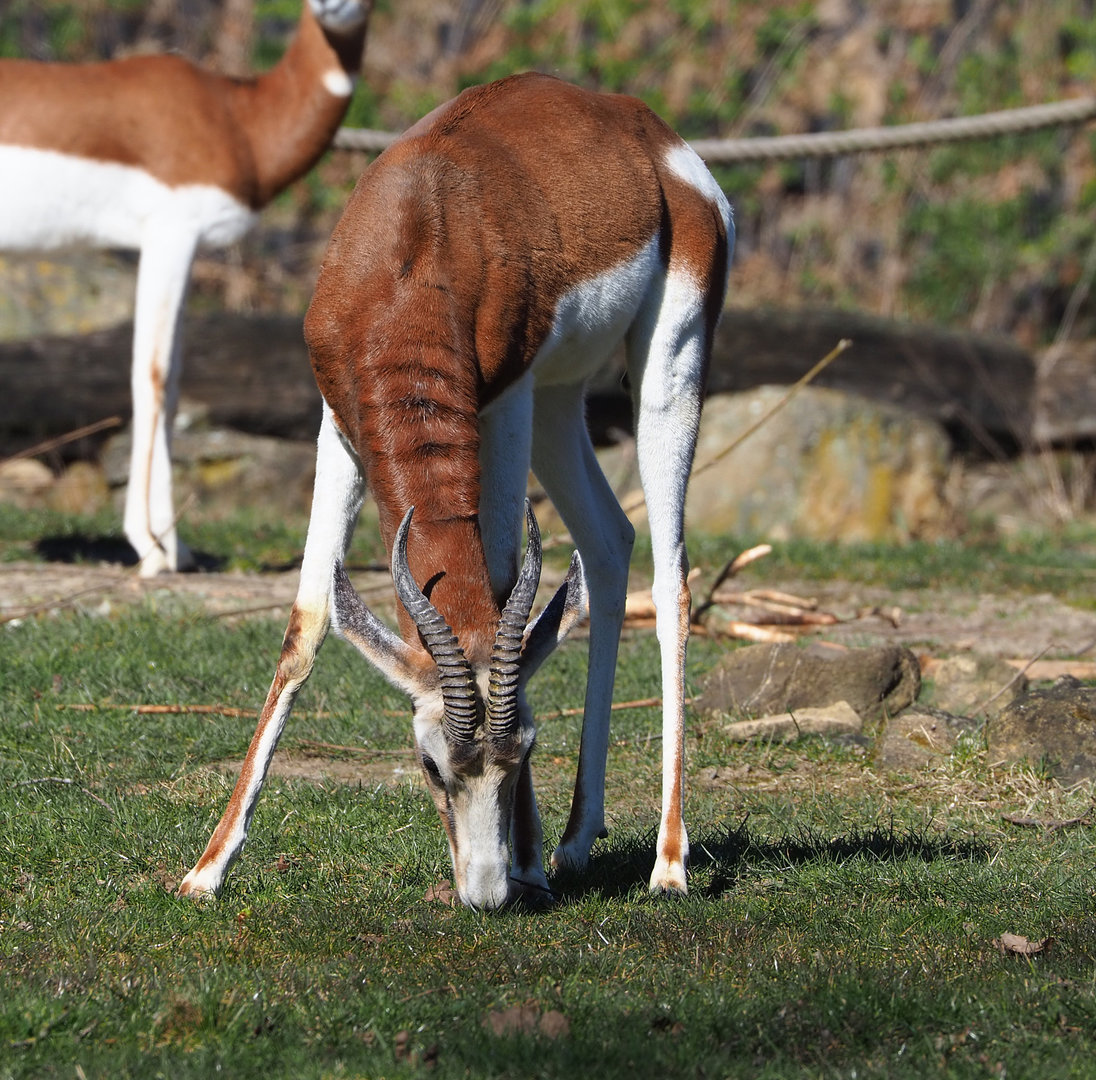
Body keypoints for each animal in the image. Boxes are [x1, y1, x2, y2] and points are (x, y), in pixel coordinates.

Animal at [0, 0, 372, 576]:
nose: (331, 6)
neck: (238, 118)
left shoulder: (184, 244)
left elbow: (174, 383)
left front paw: (177, 546)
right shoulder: (171, 234)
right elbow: (151, 376)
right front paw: (151, 548)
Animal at [179, 71, 733, 910]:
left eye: (523, 751)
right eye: (432, 765)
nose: (487, 891)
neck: (414, 250)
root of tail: (651, 135)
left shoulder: (502, 400)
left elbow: (502, 588)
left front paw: (528, 861)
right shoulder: (341, 425)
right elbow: (307, 622)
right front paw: (207, 868)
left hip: (669, 362)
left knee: (671, 580)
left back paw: (667, 862)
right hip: (560, 399)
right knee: (610, 543)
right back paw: (578, 838)